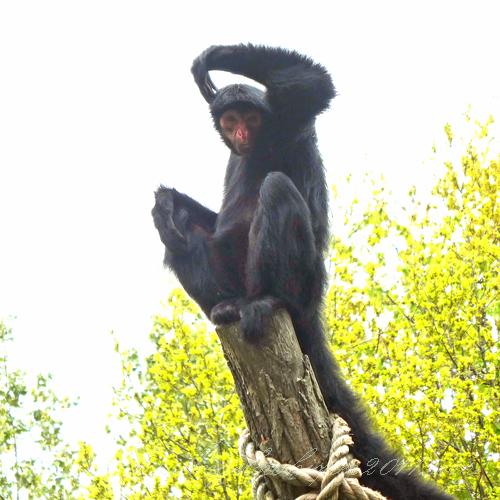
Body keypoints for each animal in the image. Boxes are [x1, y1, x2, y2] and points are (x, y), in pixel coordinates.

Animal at [152, 44, 454, 500]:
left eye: (250, 119)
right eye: (231, 120)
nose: (240, 134)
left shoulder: (289, 122)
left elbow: (314, 87)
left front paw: (209, 62)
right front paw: (167, 200)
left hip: (304, 279)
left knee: (276, 187)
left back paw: (266, 301)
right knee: (178, 235)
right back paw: (223, 304)